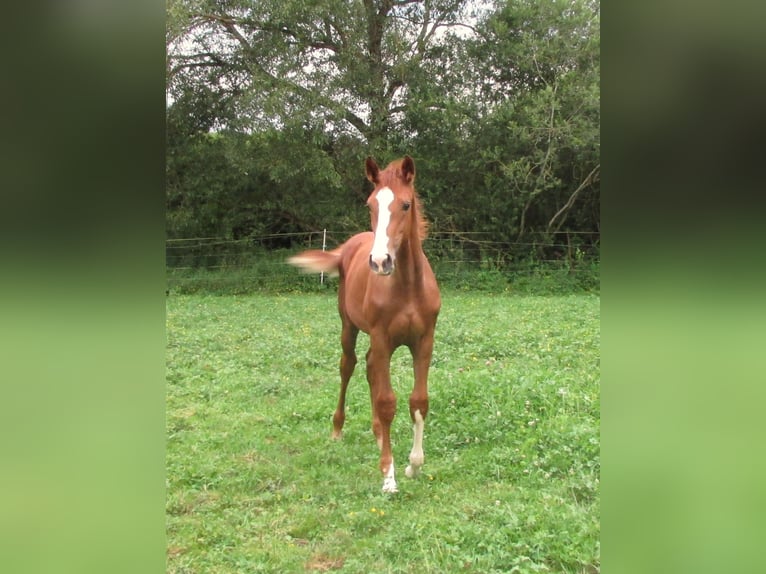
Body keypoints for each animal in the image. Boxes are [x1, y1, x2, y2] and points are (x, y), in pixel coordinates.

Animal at [290, 158, 444, 496]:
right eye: (370, 204)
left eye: (405, 204)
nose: (380, 261)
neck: (408, 286)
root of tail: (348, 246)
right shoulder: (383, 337)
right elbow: (387, 402)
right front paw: (389, 475)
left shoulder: (424, 341)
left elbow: (419, 401)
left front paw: (414, 464)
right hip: (349, 326)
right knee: (348, 365)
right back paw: (337, 429)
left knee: (371, 367)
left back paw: (377, 435)